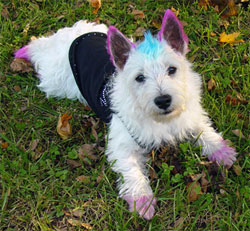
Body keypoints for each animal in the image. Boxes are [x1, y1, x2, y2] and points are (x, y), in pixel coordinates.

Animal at [14, 9, 237, 220]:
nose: (163, 100)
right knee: (41, 50)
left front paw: (223, 152)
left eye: (172, 69)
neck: (160, 119)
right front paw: (143, 202)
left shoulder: (188, 116)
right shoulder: (121, 146)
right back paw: (26, 50)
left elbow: (204, 129)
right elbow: (133, 173)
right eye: (140, 77)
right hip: (56, 80)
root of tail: (72, 34)